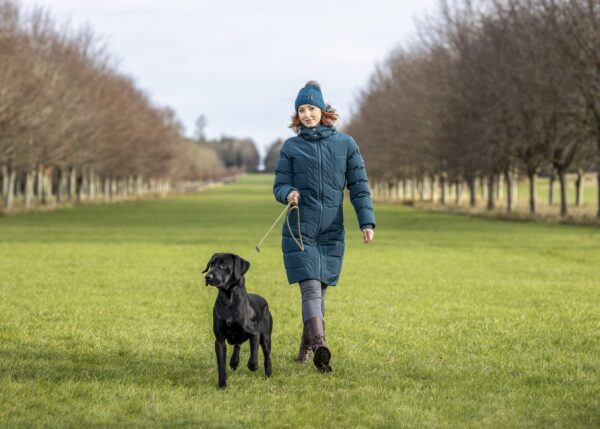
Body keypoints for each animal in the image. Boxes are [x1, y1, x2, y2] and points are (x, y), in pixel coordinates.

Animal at [204, 251, 274, 388]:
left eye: (223, 265)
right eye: (211, 264)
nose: (207, 277)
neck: (229, 300)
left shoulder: (254, 333)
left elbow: (253, 356)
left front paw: (253, 366)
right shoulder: (219, 339)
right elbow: (221, 364)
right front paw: (222, 384)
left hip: (266, 337)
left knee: (267, 354)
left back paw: (268, 372)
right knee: (237, 345)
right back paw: (234, 361)